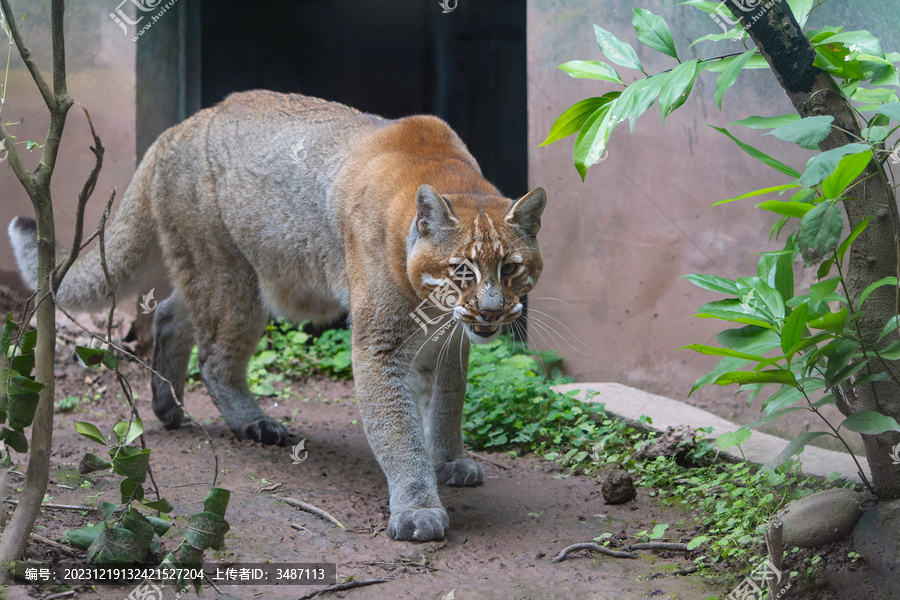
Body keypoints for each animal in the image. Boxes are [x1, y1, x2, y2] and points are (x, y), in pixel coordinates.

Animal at [8, 90, 548, 544]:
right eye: (462, 270)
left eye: (511, 268)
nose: (493, 310)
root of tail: (179, 128)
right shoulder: (381, 347)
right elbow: (398, 430)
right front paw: (417, 507)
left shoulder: (450, 341)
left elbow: (448, 403)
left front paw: (450, 460)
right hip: (233, 278)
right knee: (214, 357)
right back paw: (251, 422)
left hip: (217, 273)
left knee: (167, 313)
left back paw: (167, 405)